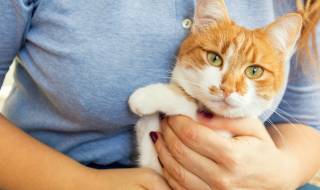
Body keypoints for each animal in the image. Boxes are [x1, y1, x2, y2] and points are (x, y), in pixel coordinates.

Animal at [128, 0, 302, 173]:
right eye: (214, 58)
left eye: (254, 71)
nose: (227, 88)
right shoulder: (154, 165)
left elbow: (187, 104)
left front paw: (148, 96)